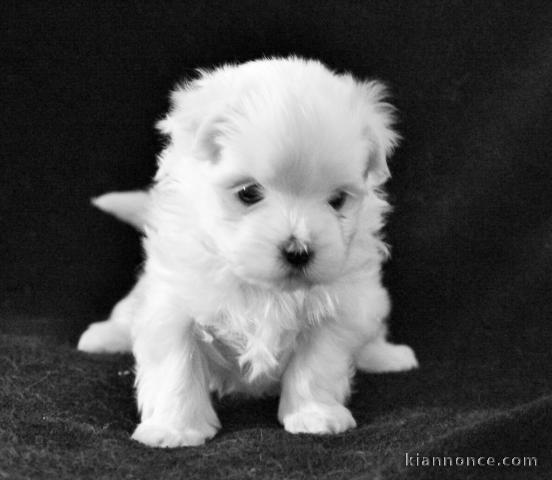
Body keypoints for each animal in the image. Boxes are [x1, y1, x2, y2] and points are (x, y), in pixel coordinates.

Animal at [75, 58, 416, 448]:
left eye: (337, 200)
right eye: (249, 193)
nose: (298, 250)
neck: (263, 287)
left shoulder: (339, 312)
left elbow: (317, 366)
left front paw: (314, 415)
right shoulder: (173, 304)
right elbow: (176, 366)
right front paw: (174, 429)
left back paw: (387, 355)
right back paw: (103, 337)